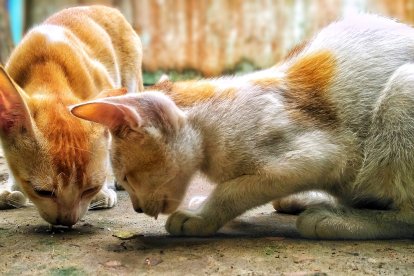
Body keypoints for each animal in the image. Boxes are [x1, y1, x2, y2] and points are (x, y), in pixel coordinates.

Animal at [0, 5, 144, 226]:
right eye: (42, 192)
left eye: (90, 189)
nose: (67, 221)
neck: (47, 67)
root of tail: (105, 7)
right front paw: (12, 188)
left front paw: (103, 191)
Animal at [73, 14, 414, 239]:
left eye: (128, 178)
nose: (138, 210)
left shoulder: (320, 156)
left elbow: (233, 189)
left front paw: (200, 216)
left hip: (403, 89)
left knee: (407, 216)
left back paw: (336, 219)